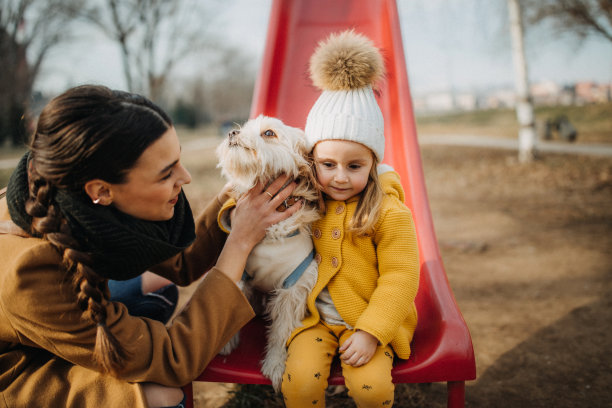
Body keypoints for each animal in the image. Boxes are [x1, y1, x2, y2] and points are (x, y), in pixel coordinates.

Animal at [215, 114, 320, 388]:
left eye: (269, 133)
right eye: (245, 127)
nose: (232, 132)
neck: (271, 233)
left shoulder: (292, 290)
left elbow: (281, 331)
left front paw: (275, 364)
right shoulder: (239, 275)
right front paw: (226, 342)